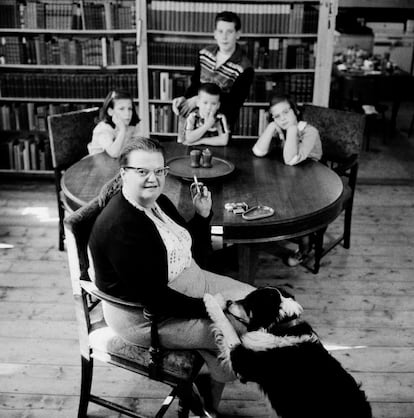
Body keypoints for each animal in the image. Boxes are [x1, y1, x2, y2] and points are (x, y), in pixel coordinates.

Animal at [204, 288, 372, 418]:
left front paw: (211, 301)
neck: (280, 328)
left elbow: (226, 326)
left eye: (248, 302)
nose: (229, 302)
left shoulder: (243, 364)